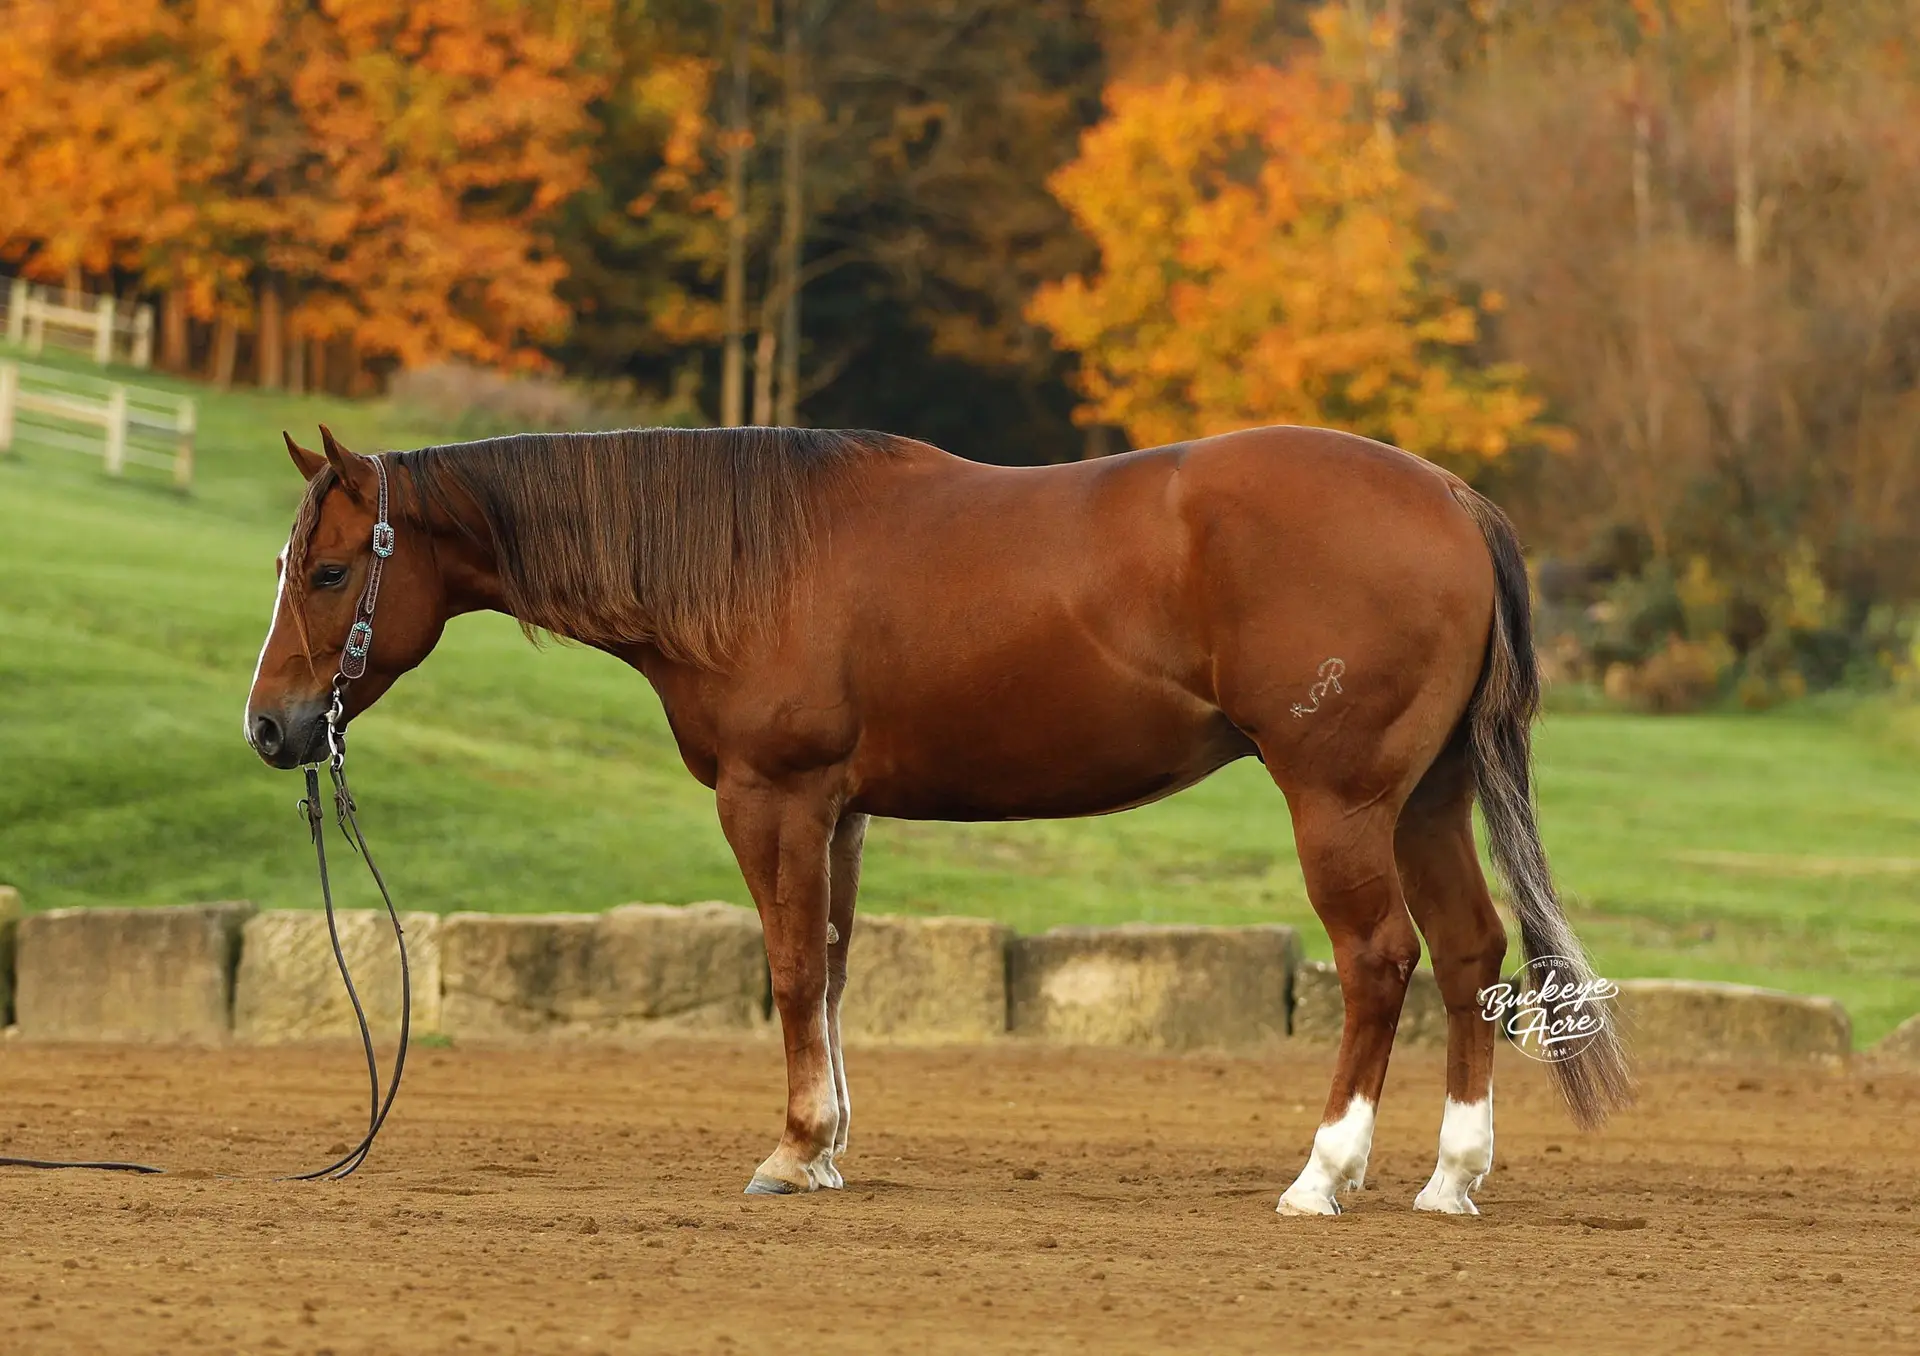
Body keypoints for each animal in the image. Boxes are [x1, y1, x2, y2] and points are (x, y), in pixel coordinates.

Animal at [245, 422, 1632, 1214]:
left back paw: (1323, 1175)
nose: (271, 729)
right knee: (1467, 955)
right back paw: (1450, 1179)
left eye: (330, 570)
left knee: (1378, 961)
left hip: (1339, 803)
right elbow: (836, 967)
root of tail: (1452, 499)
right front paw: (829, 1149)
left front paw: (793, 1150)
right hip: (1424, 801)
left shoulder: (774, 796)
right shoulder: (844, 813)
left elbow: (791, 968)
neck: (752, 558)